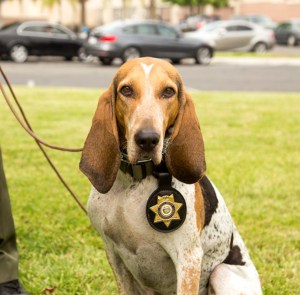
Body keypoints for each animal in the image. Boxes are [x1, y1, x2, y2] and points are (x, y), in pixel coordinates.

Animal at [79, 56, 262, 294]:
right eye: (126, 90)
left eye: (168, 91)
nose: (147, 139)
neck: (134, 182)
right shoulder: (112, 253)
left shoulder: (187, 257)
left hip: (222, 273)